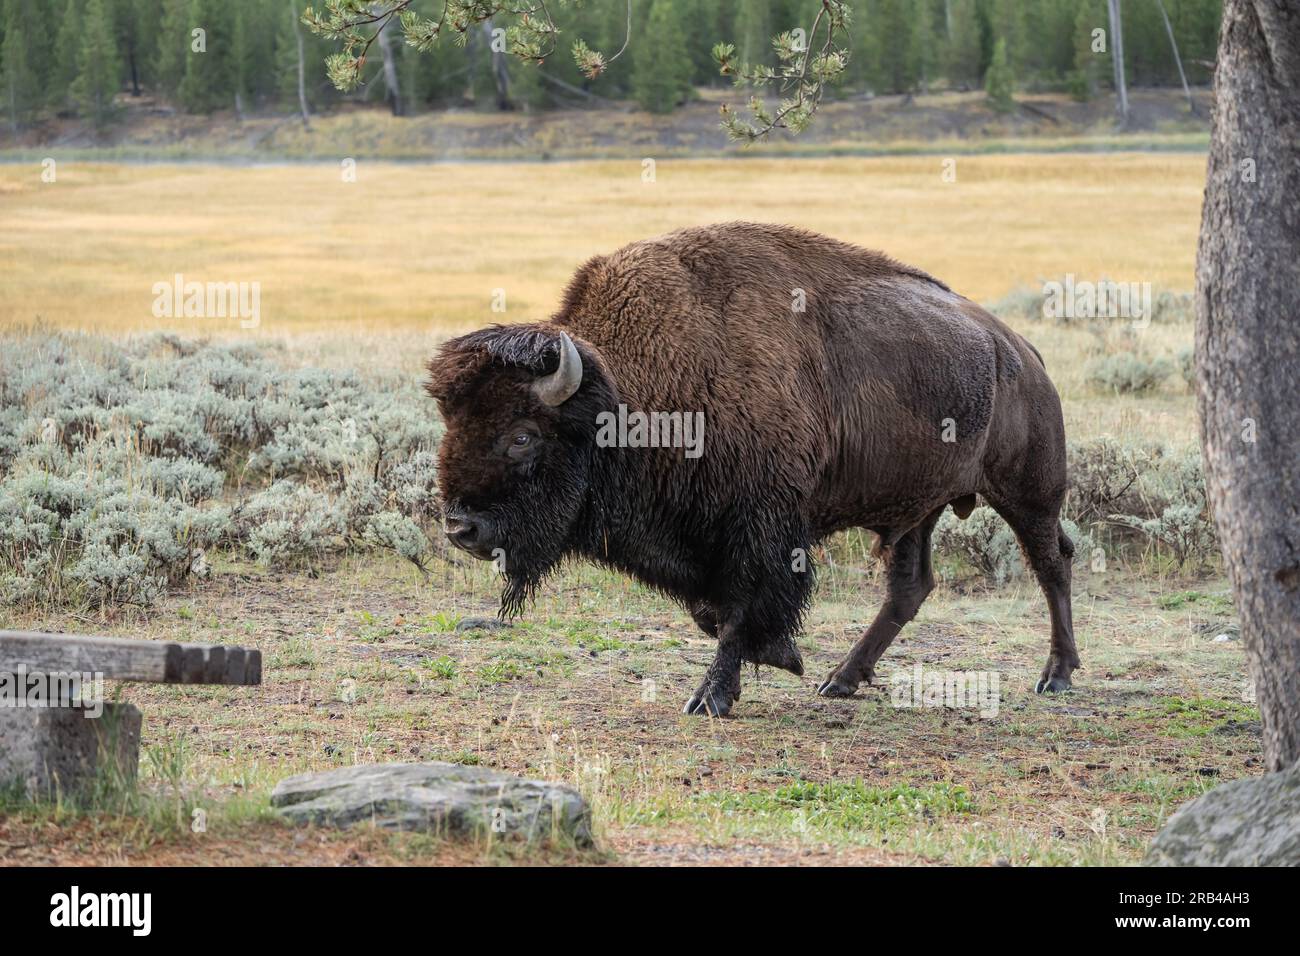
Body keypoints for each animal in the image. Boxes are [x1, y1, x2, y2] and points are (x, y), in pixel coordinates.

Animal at [426, 222, 1076, 717]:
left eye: (522, 435)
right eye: (451, 425)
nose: (462, 529)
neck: (627, 395)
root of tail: (1022, 351)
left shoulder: (760, 528)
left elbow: (739, 610)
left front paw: (714, 695)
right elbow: (710, 610)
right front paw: (781, 655)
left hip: (1027, 493)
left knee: (1052, 563)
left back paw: (1057, 675)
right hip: (918, 509)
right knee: (909, 587)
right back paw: (841, 679)